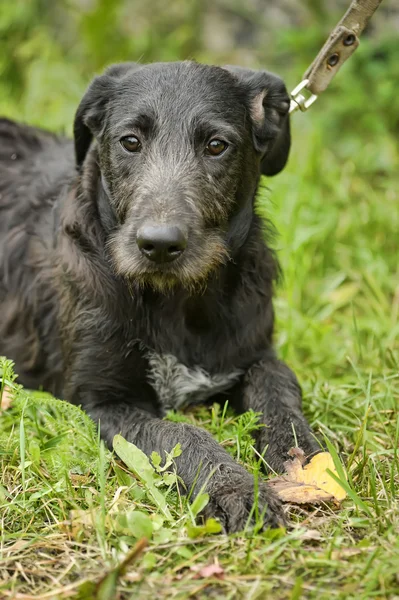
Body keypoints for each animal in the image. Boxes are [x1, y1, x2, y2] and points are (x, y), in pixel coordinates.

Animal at [0, 59, 320, 528]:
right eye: (130, 142)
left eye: (217, 145)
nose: (160, 244)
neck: (175, 300)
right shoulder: (103, 402)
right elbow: (179, 433)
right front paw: (235, 488)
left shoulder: (253, 351)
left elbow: (277, 381)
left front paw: (303, 456)